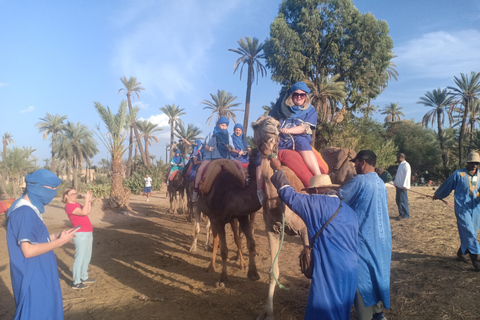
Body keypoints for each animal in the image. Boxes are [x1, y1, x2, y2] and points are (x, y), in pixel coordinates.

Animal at [188, 153, 262, 284]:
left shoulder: (240, 216)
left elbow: (248, 242)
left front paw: (251, 271)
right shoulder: (219, 220)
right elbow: (224, 249)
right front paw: (223, 277)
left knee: (214, 234)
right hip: (198, 207)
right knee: (200, 229)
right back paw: (198, 251)